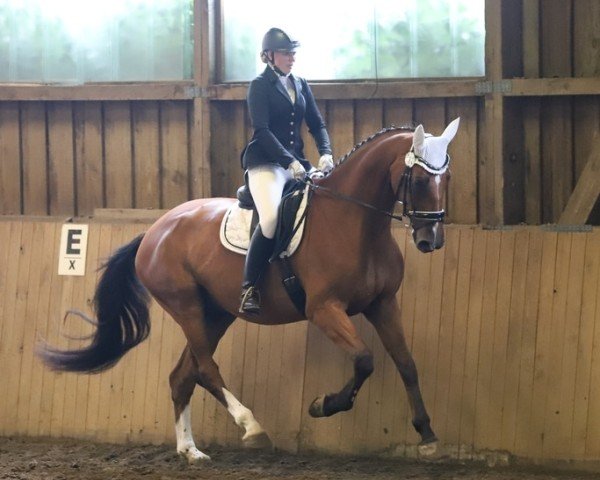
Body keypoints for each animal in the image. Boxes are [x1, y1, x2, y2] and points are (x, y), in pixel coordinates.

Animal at [38, 118, 460, 464]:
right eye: (420, 180)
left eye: (448, 178)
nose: (431, 240)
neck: (354, 221)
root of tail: (155, 231)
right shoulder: (324, 310)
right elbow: (364, 360)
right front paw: (322, 405)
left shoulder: (383, 304)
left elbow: (405, 363)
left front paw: (427, 435)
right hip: (187, 307)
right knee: (205, 368)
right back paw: (251, 426)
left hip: (216, 313)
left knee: (182, 375)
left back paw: (190, 450)